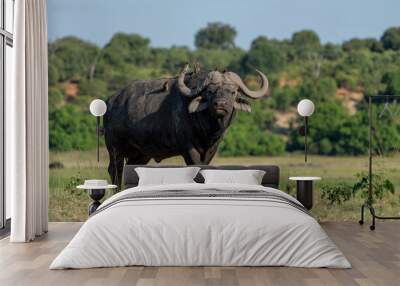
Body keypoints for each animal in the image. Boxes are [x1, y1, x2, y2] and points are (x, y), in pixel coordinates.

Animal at [104, 64, 270, 187]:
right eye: (210, 91)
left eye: (233, 92)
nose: (220, 104)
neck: (207, 130)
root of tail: (111, 101)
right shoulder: (189, 149)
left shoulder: (211, 149)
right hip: (115, 149)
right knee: (115, 170)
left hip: (140, 154)